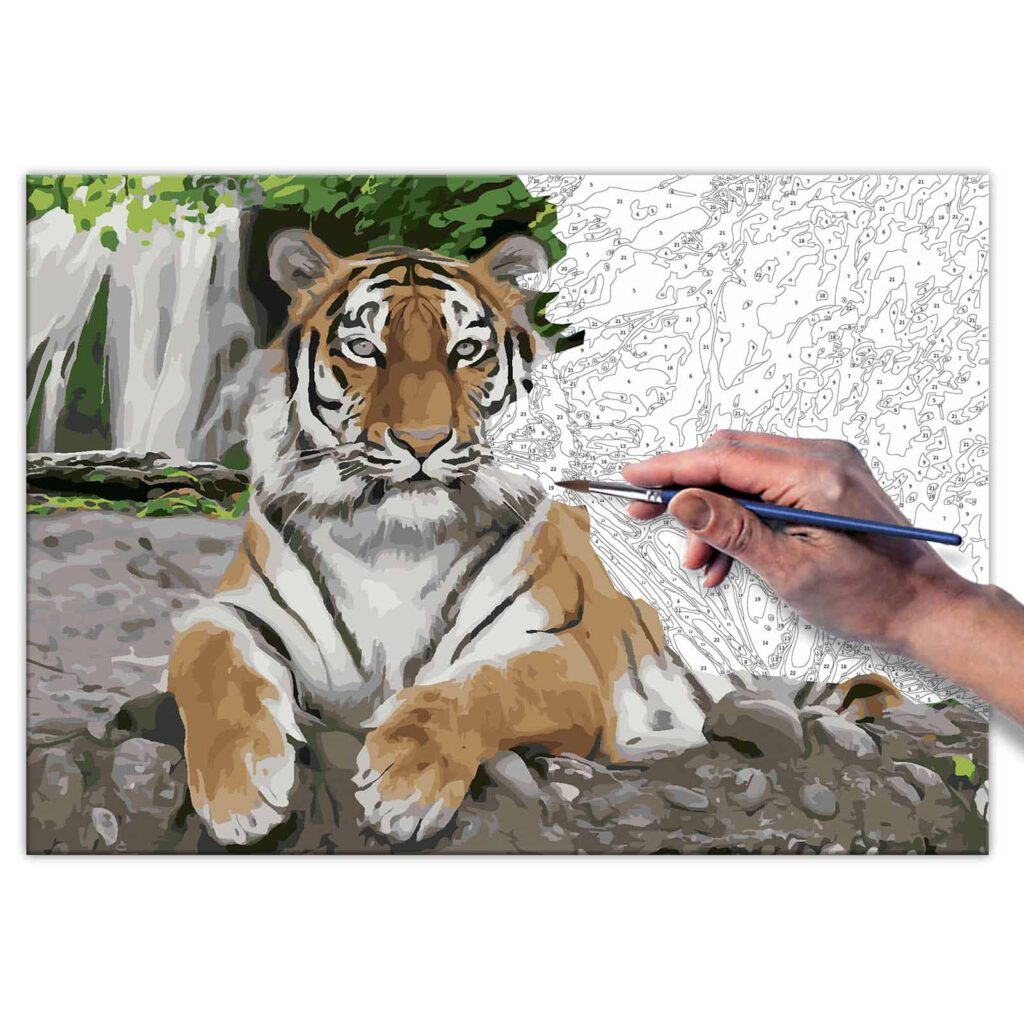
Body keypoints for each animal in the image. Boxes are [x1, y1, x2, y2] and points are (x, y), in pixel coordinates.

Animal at [166, 227, 901, 846]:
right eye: (364, 349)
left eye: (466, 350)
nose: (423, 443)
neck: (392, 543)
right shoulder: (233, 612)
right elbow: (212, 664)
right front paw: (239, 794)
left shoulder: (561, 651)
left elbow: (480, 687)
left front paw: (404, 778)